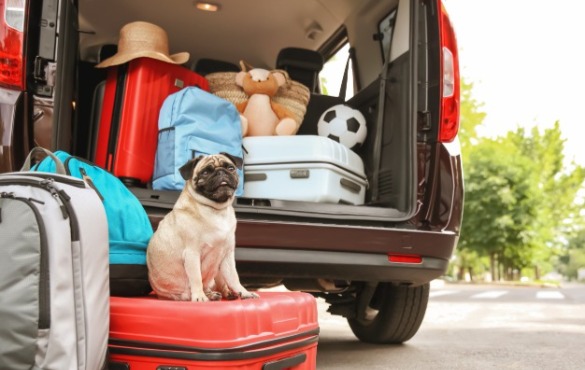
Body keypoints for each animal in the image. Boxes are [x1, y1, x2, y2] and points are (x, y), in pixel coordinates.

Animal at [145, 152, 256, 300]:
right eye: (205, 172)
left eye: (230, 168)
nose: (221, 172)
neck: (217, 210)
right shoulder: (192, 254)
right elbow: (196, 277)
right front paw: (199, 296)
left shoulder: (227, 255)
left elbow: (234, 278)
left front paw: (244, 292)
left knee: (221, 284)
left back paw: (223, 293)